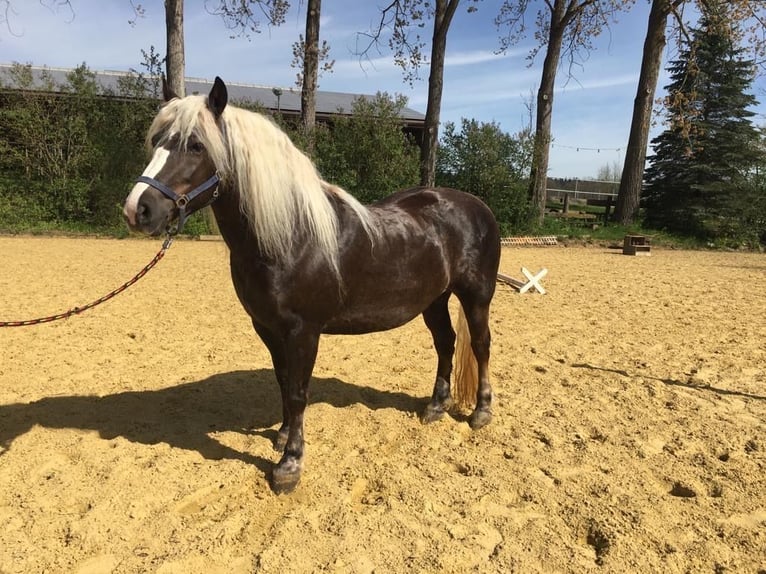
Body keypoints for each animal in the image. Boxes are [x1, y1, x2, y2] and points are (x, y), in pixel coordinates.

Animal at [122, 77, 500, 496]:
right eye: (157, 140)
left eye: (196, 145)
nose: (137, 209)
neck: (289, 236)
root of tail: (477, 206)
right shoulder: (268, 328)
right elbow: (284, 382)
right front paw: (283, 436)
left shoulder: (303, 331)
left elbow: (299, 391)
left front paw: (290, 465)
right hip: (434, 299)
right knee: (446, 342)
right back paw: (436, 406)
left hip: (476, 296)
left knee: (480, 345)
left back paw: (481, 412)